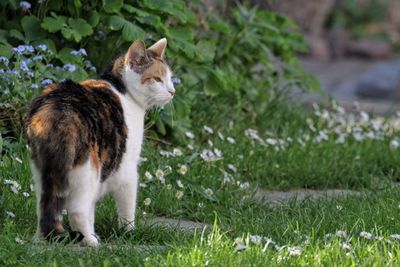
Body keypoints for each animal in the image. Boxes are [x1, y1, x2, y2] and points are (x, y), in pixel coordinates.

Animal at [23, 37, 175, 247]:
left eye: (169, 78)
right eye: (157, 79)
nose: (172, 91)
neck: (122, 90)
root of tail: (57, 113)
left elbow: (91, 211)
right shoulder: (127, 169)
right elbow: (127, 208)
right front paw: (129, 232)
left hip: (42, 172)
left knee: (46, 207)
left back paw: (43, 240)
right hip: (88, 171)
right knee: (77, 210)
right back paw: (92, 243)